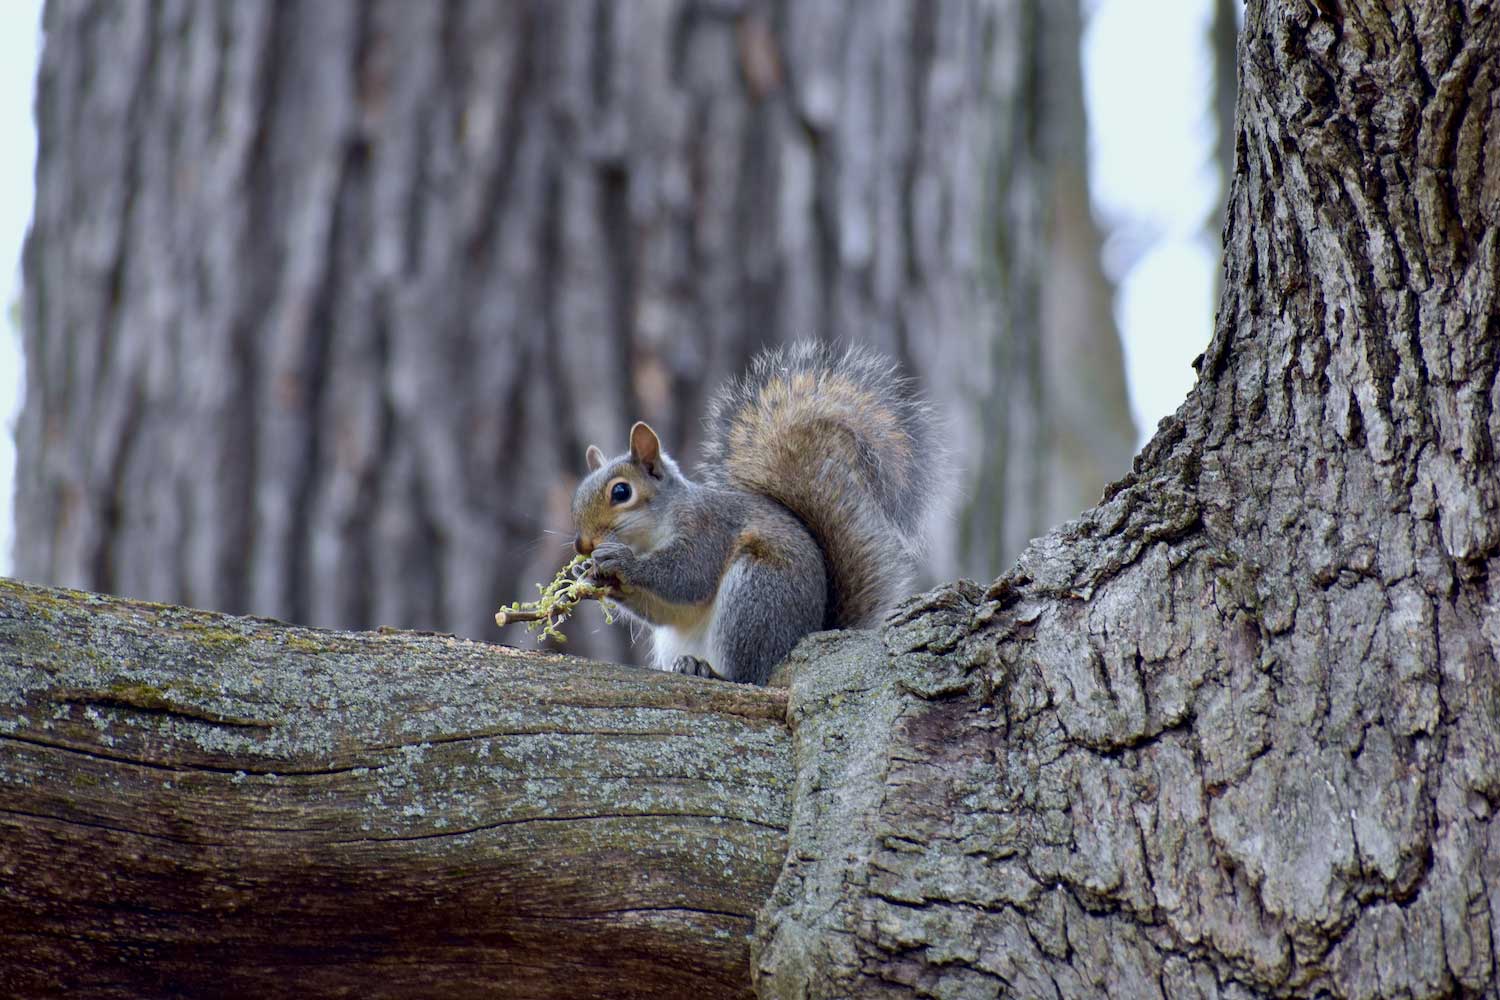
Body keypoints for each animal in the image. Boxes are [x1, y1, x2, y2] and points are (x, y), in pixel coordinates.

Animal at [567, 346, 942, 689]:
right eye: (578, 494)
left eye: (621, 492)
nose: (582, 545)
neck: (650, 534)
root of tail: (803, 638)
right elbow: (663, 610)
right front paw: (591, 575)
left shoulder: (708, 529)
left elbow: (687, 577)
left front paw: (620, 561)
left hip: (755, 595)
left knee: (749, 676)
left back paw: (712, 671)